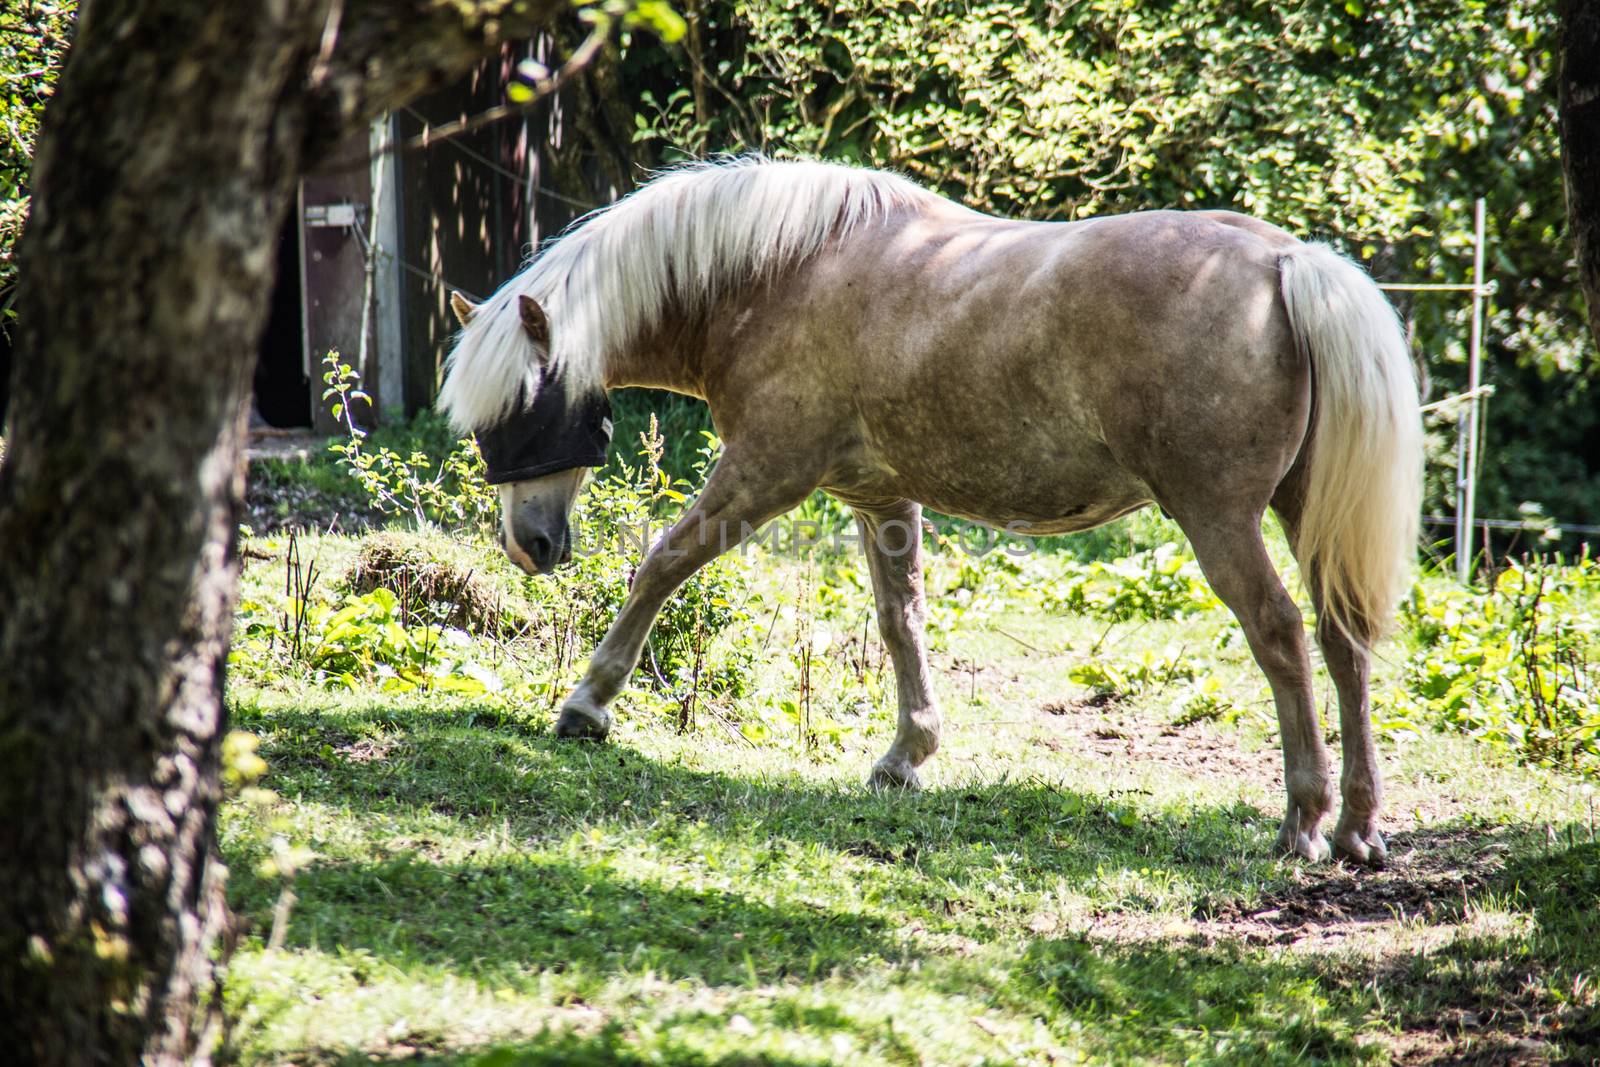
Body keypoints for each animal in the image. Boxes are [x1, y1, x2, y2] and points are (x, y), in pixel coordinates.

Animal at [438, 158, 1427, 870]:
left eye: (524, 406)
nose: (530, 543)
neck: (778, 273)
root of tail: (1284, 262)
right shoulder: (881, 498)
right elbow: (900, 620)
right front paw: (906, 755)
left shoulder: (764, 474)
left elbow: (662, 562)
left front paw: (587, 705)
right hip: (1299, 516)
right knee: (1343, 640)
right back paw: (1358, 827)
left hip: (1218, 519)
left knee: (1281, 634)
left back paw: (1303, 819)